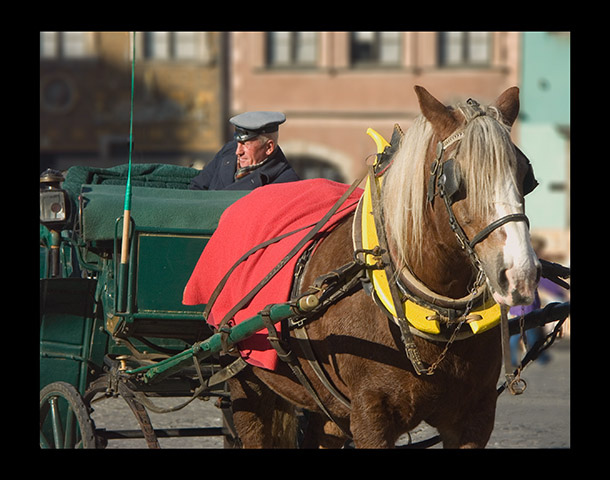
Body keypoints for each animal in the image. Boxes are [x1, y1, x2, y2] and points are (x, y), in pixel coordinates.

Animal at [221, 84, 540, 448]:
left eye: (525, 176)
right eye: (455, 181)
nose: (520, 274)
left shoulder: (475, 417)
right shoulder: (371, 418)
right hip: (247, 378)